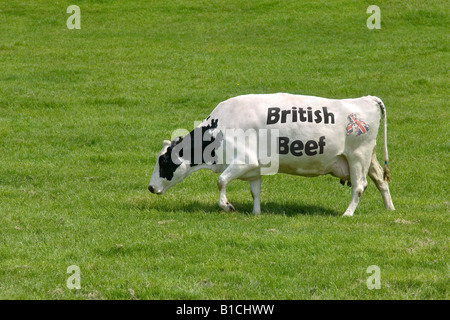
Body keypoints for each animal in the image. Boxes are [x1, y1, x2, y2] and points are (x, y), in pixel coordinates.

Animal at [148, 93, 394, 218]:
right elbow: (255, 191)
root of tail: (367, 99)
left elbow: (221, 181)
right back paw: (389, 209)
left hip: (358, 156)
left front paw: (227, 206)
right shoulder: (254, 168)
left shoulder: (244, 160)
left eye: (163, 161)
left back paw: (347, 214)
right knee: (381, 180)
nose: (150, 187)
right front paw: (256, 213)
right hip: (368, 157)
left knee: (360, 186)